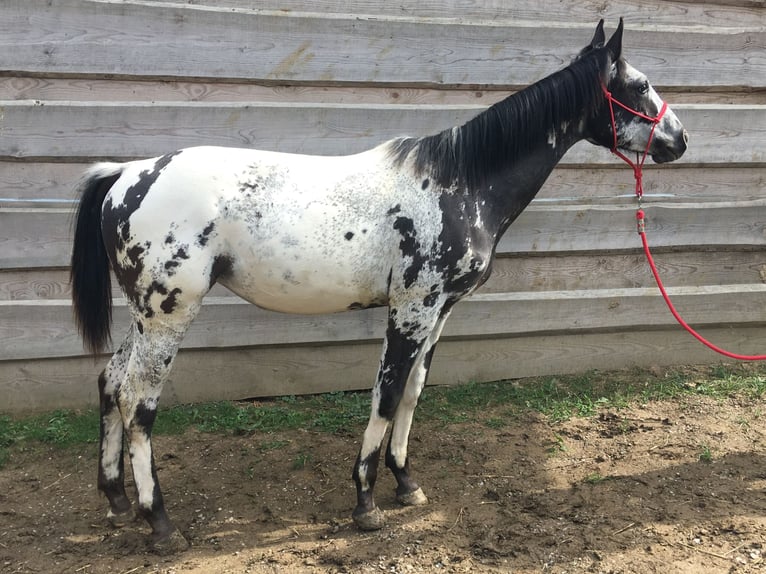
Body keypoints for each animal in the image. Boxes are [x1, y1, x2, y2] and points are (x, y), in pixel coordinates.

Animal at [69, 20, 688, 556]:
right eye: (639, 85)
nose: (679, 140)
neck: (459, 183)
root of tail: (126, 175)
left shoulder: (439, 313)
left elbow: (412, 394)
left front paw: (406, 484)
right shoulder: (411, 310)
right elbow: (386, 396)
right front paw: (365, 502)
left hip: (146, 316)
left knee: (110, 382)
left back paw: (117, 501)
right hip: (169, 314)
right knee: (138, 402)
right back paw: (159, 522)